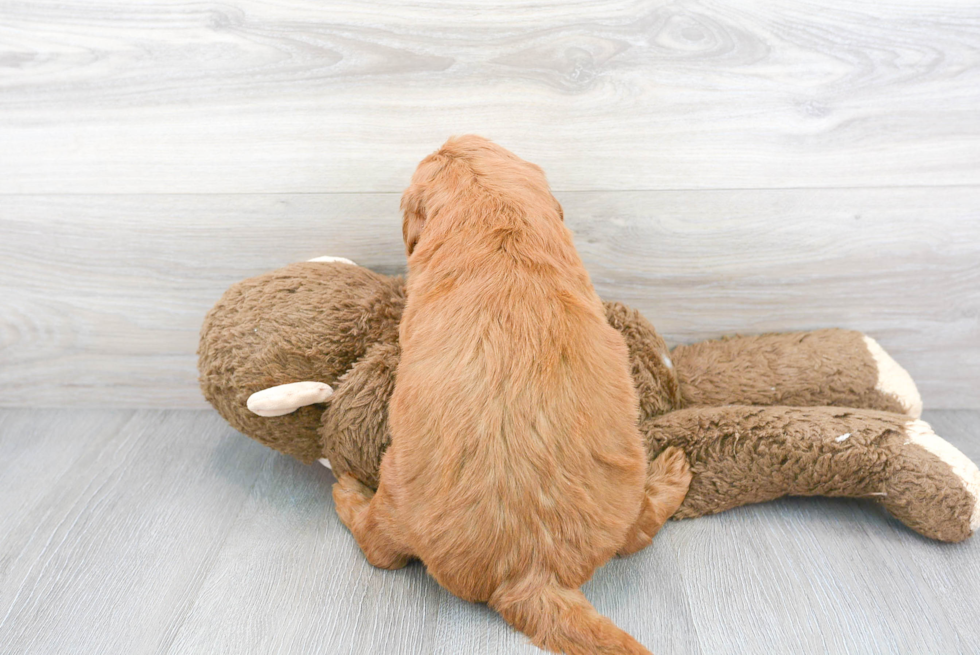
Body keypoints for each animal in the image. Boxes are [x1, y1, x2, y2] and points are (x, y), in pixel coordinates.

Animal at [334, 135, 692, 655]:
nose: (448, 138)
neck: (495, 214)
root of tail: (532, 572)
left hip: (395, 494)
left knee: (377, 548)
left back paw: (347, 492)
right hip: (624, 484)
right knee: (637, 532)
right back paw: (672, 475)